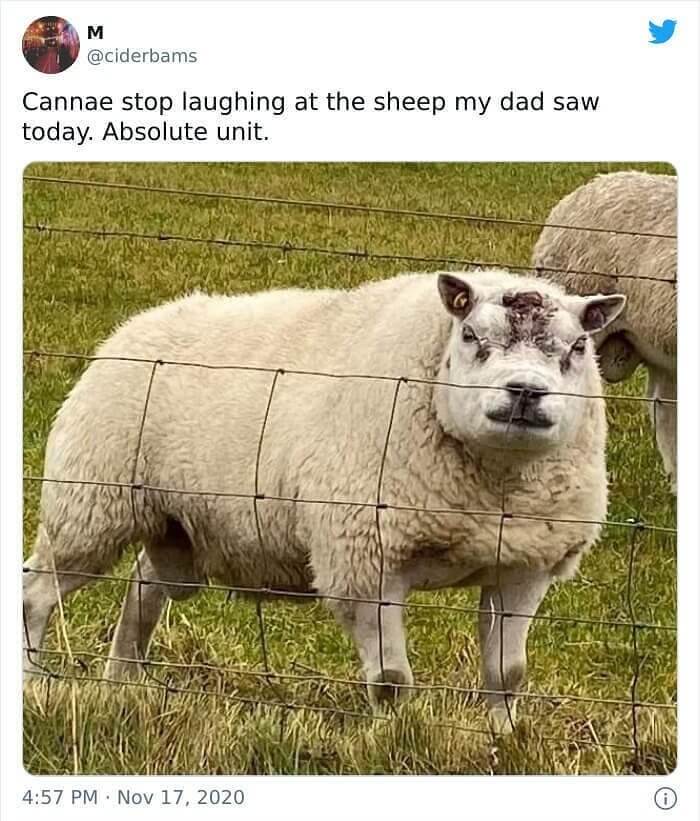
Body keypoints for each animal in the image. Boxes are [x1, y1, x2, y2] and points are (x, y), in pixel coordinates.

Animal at [23, 270, 625, 733]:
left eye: (578, 348)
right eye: (472, 335)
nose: (525, 392)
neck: (494, 487)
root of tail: (138, 324)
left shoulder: (526, 566)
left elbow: (508, 674)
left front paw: (504, 737)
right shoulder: (364, 561)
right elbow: (390, 681)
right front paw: (392, 738)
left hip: (176, 525)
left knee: (144, 586)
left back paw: (122, 681)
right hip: (89, 505)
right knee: (37, 592)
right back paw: (34, 681)